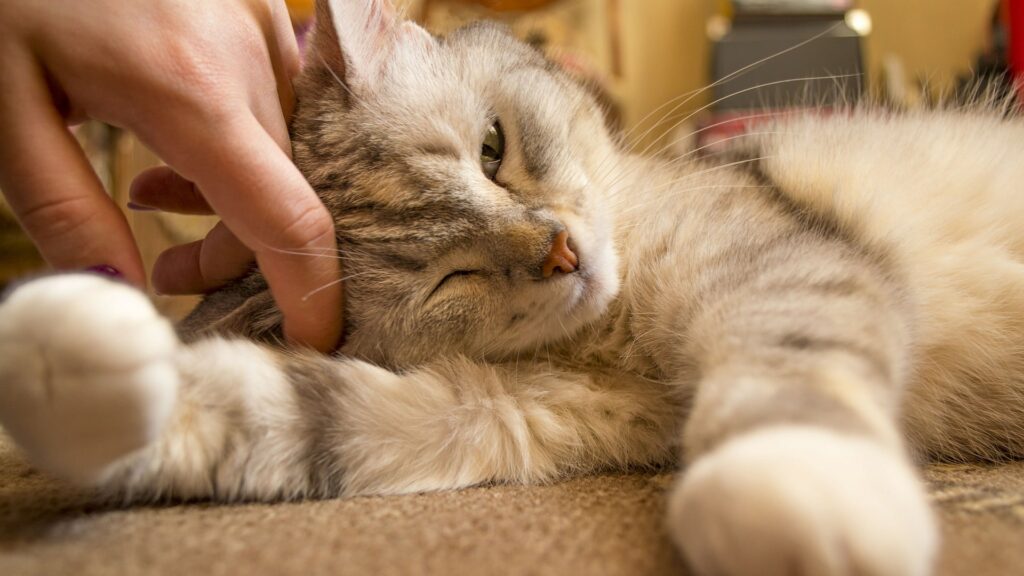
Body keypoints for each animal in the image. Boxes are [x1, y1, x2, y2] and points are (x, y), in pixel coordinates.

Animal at [2, 1, 1024, 573]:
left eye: (492, 151)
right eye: (447, 278)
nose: (560, 254)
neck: (619, 336)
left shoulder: (777, 271)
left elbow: (786, 379)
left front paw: (797, 488)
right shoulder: (505, 410)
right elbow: (275, 408)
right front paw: (59, 359)